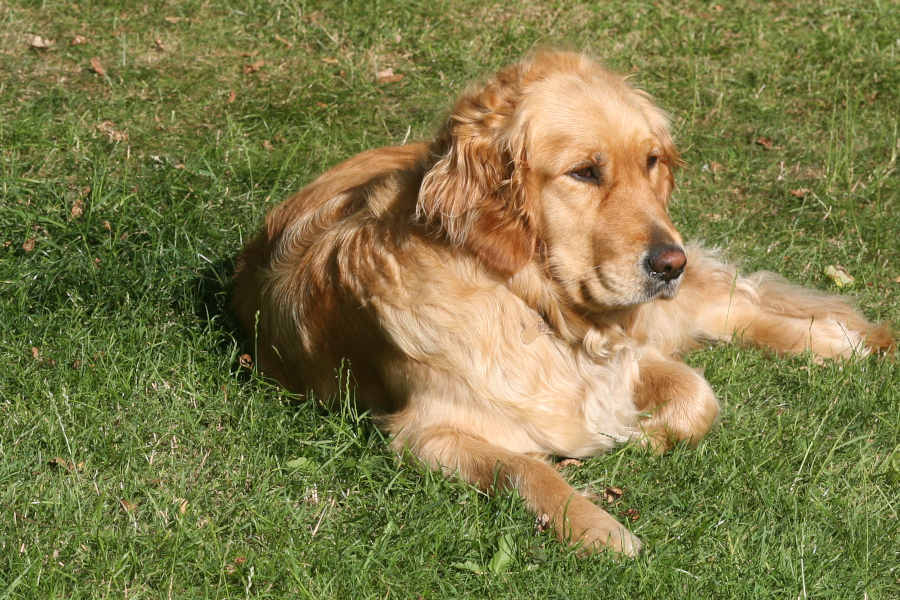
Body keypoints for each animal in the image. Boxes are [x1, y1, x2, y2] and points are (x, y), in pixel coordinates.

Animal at [232, 49, 892, 556]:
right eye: (583, 172)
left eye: (651, 161)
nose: (669, 263)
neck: (531, 304)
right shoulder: (429, 432)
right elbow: (525, 467)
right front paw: (599, 527)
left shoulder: (630, 352)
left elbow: (697, 395)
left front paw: (642, 436)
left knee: (733, 303)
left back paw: (839, 340)